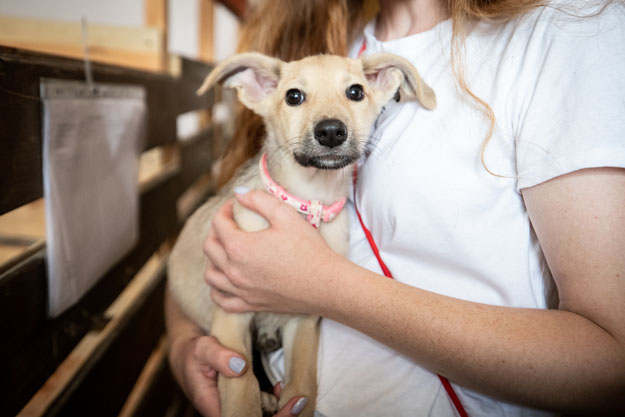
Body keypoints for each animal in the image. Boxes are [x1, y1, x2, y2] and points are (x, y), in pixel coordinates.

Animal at [168, 52, 436, 416]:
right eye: (294, 96)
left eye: (356, 91)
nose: (331, 132)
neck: (309, 202)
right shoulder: (230, 313)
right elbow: (240, 385)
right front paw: (250, 399)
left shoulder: (304, 321)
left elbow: (302, 386)